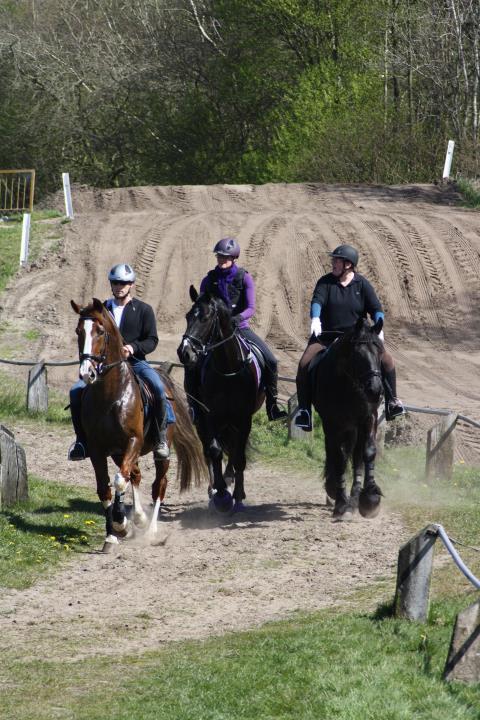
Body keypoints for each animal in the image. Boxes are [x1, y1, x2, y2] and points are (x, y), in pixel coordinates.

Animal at [71, 298, 206, 552]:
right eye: (78, 331)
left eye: (100, 332)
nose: (86, 373)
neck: (110, 396)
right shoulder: (98, 449)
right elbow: (105, 488)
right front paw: (112, 534)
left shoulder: (133, 441)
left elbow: (118, 481)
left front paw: (121, 523)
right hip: (118, 453)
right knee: (135, 476)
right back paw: (139, 518)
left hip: (159, 452)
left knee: (158, 484)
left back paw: (151, 530)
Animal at [177, 286, 266, 512]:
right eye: (188, 316)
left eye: (206, 317)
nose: (184, 352)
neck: (228, 370)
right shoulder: (211, 416)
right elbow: (215, 451)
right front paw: (222, 495)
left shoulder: (243, 419)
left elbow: (239, 457)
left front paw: (238, 497)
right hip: (203, 419)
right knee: (209, 452)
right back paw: (214, 489)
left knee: (233, 451)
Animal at [312, 318, 386, 520]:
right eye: (358, 355)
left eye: (380, 352)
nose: (375, 390)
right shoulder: (332, 423)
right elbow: (339, 457)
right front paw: (340, 503)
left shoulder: (369, 417)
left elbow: (368, 452)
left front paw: (370, 498)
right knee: (336, 453)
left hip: (355, 427)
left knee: (357, 456)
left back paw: (354, 500)